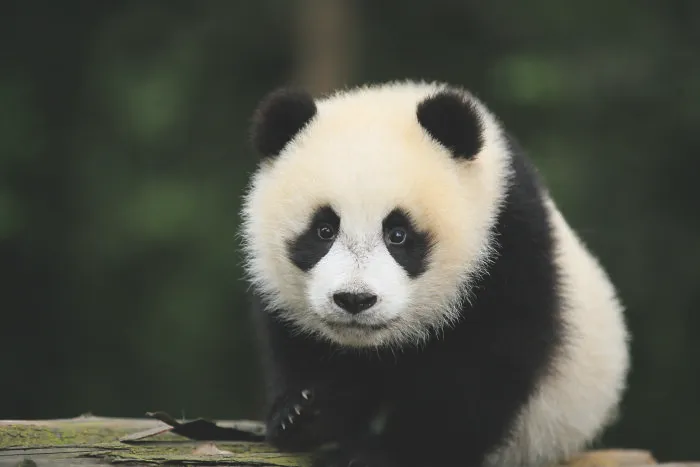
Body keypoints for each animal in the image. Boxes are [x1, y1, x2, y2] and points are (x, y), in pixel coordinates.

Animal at [239, 80, 629, 467]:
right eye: (324, 230)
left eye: (398, 234)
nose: (355, 299)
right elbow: (298, 346)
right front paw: (304, 413)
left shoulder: (506, 249)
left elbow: (480, 370)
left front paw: (386, 451)